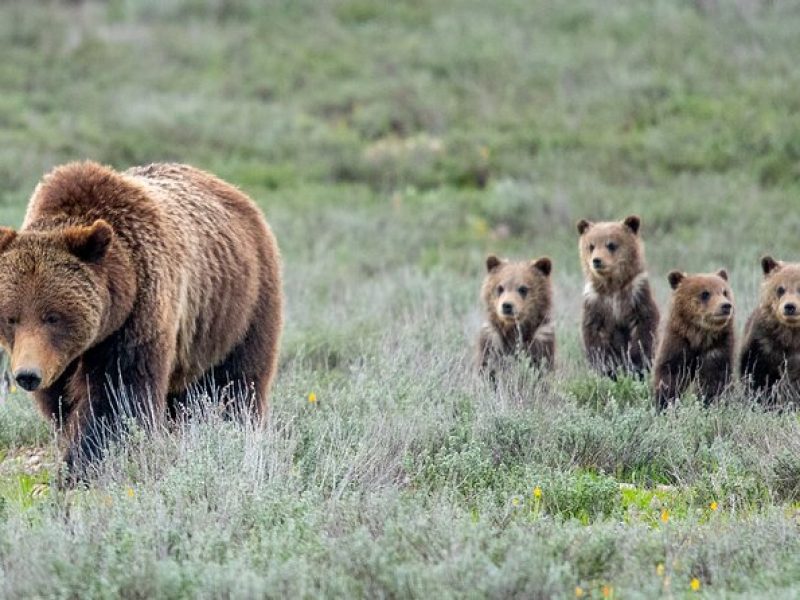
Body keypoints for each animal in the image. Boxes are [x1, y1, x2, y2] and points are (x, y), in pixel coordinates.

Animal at [0, 162, 284, 472]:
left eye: (52, 316)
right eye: (11, 318)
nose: (27, 375)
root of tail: (235, 192)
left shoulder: (137, 317)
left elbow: (117, 397)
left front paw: (83, 464)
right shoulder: (60, 359)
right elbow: (61, 402)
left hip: (239, 308)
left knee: (236, 383)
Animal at [580, 214, 660, 376]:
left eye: (611, 245)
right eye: (591, 246)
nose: (597, 260)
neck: (612, 287)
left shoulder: (637, 294)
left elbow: (644, 327)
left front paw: (636, 362)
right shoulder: (595, 302)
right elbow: (594, 334)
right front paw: (606, 366)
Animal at [652, 270, 736, 408]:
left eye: (725, 292)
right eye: (705, 293)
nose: (726, 305)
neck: (698, 335)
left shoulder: (717, 347)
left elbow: (713, 379)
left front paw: (708, 402)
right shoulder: (677, 343)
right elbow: (670, 375)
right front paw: (665, 402)